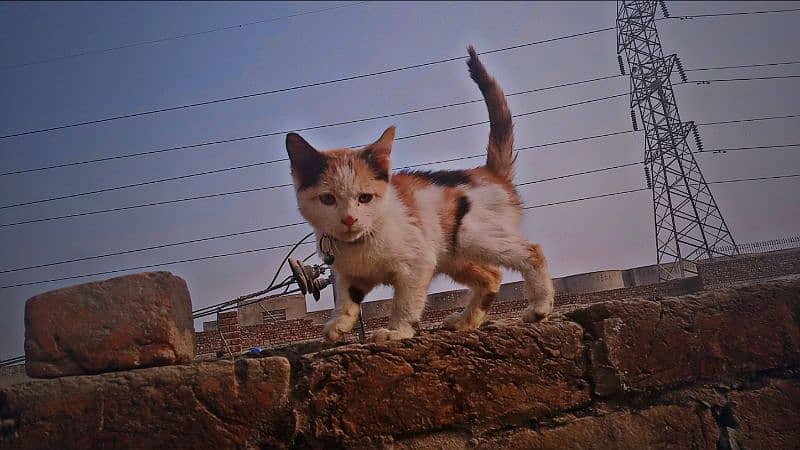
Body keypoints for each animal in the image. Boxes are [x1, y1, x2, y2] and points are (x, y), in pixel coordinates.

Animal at [288, 45, 556, 342]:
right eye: (327, 199)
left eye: (365, 198)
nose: (349, 219)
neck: (361, 243)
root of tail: (487, 172)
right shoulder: (348, 272)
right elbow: (348, 296)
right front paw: (339, 322)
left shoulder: (418, 263)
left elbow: (405, 300)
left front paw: (397, 331)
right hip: (453, 255)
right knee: (491, 276)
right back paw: (465, 321)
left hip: (474, 236)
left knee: (532, 252)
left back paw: (539, 308)